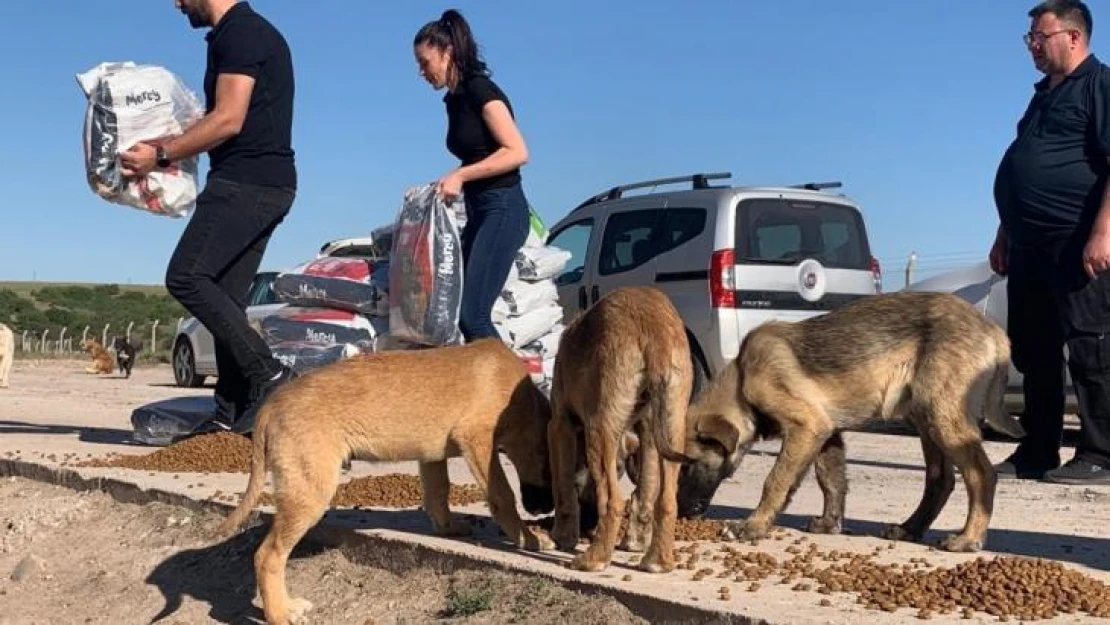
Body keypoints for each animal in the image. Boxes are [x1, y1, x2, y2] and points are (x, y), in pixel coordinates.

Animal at [215, 337, 555, 625]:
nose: (545, 511)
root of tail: (271, 404)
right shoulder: (478, 440)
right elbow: (503, 495)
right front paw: (529, 538)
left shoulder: (432, 455)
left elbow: (438, 493)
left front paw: (448, 527)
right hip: (310, 492)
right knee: (267, 556)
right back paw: (280, 613)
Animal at [548, 286, 692, 572]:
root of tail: (655, 329)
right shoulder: (647, 430)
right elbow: (645, 491)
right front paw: (635, 541)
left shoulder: (560, 424)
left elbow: (563, 489)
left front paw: (562, 537)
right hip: (672, 422)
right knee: (667, 500)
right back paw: (657, 561)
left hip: (599, 428)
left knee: (612, 501)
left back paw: (594, 558)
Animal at [679, 290, 1025, 555]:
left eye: (687, 465)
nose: (681, 512)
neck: (743, 379)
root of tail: (994, 330)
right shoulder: (826, 433)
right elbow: (831, 481)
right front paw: (829, 524)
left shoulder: (806, 426)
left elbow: (776, 480)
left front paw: (753, 526)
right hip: (926, 419)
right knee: (940, 480)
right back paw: (909, 529)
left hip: (942, 417)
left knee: (981, 475)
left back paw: (968, 538)